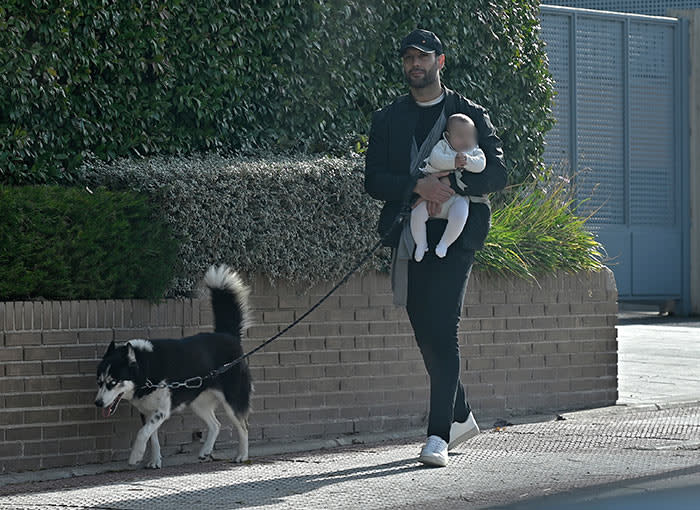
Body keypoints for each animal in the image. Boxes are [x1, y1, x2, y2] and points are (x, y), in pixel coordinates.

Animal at [94, 264, 253, 468]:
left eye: (113, 382)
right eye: (99, 382)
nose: (98, 403)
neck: (146, 367)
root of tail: (228, 335)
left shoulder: (161, 411)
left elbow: (143, 433)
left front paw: (136, 455)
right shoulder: (148, 412)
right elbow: (152, 438)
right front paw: (154, 460)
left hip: (232, 400)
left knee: (243, 426)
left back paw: (242, 455)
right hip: (198, 402)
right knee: (215, 424)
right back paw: (205, 451)